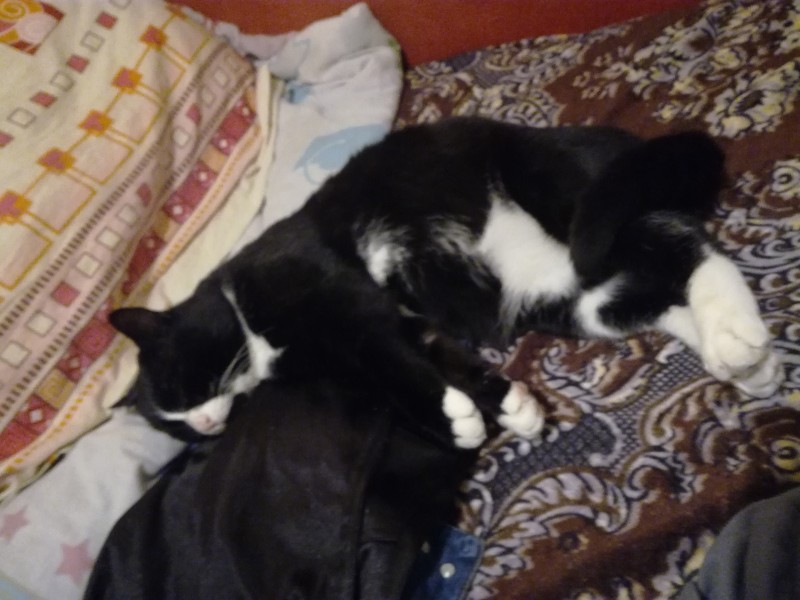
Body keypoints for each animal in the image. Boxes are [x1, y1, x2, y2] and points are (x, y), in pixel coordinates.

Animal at [110, 117, 783, 447]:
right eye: (171, 425)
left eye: (179, 387)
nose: (203, 427)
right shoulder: (395, 329)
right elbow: (428, 361)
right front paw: (507, 408)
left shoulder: (334, 294)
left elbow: (389, 362)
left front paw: (451, 418)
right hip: (568, 296)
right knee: (650, 288)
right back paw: (747, 363)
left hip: (573, 202)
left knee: (684, 244)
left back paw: (736, 333)